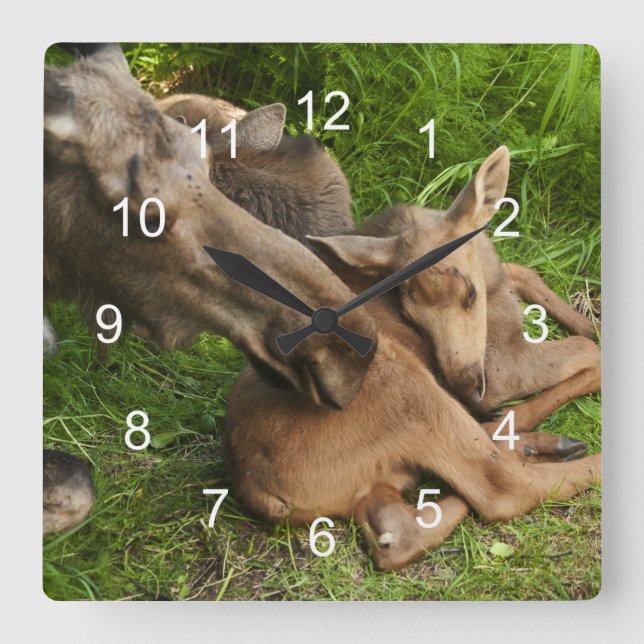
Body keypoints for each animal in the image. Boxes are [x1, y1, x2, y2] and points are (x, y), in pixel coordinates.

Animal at [223, 146, 601, 570]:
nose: (463, 384)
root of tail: (255, 489)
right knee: (502, 488)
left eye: (469, 295)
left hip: (370, 482)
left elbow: (524, 270)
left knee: (397, 536)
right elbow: (589, 352)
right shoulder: (501, 366)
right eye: (411, 314)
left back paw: (528, 443)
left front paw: (589, 322)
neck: (492, 288)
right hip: (403, 384)